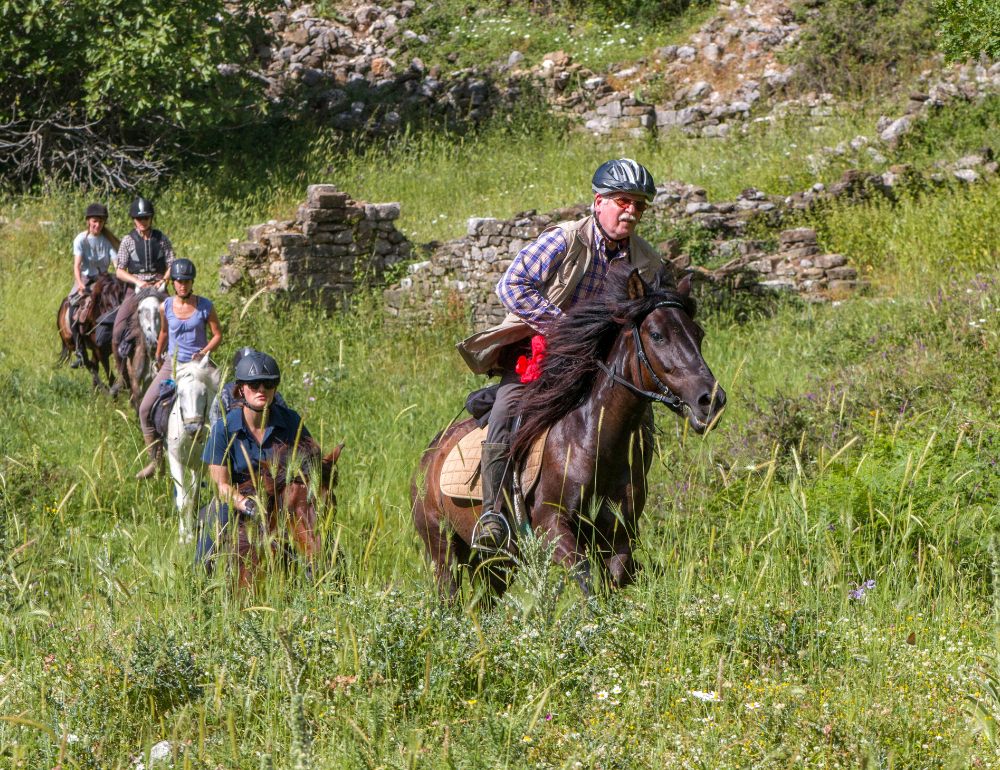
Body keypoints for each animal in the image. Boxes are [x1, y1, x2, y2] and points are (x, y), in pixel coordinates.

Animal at [167, 356, 222, 540]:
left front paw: (190, 532)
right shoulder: (175, 461)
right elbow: (182, 500)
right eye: (180, 394)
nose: (193, 428)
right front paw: (184, 535)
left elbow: (193, 497)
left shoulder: (201, 466)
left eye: (203, 393)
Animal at [412, 266, 728, 600]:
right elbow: (589, 583)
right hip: (441, 547)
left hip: (498, 564)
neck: (595, 441)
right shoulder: (551, 528)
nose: (711, 400)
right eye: (657, 335)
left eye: (698, 334)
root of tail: (430, 455)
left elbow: (614, 581)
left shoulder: (616, 534)